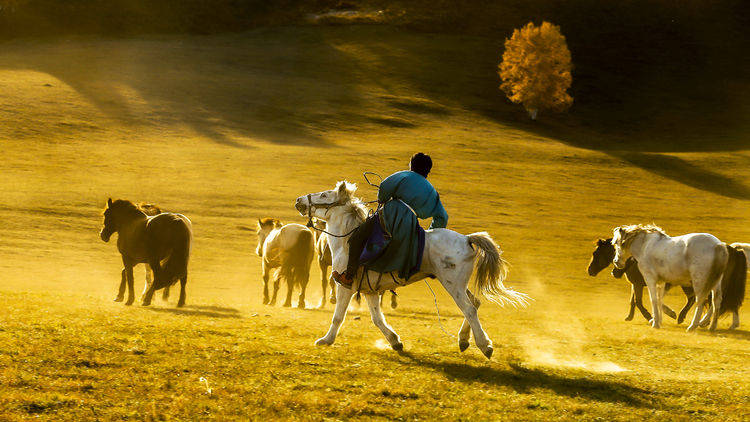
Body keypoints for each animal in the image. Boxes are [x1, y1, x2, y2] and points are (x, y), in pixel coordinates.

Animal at [296, 180, 532, 358]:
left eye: (324, 195)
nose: (299, 200)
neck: (347, 239)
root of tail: (467, 239)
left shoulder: (345, 285)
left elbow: (338, 316)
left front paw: (326, 340)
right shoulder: (370, 290)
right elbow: (377, 319)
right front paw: (395, 342)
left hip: (453, 285)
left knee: (469, 309)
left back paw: (484, 345)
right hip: (459, 285)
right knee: (475, 303)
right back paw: (464, 340)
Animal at [612, 226, 748, 332]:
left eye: (617, 243)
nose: (616, 262)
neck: (645, 246)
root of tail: (718, 245)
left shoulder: (650, 279)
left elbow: (654, 300)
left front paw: (655, 323)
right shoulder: (661, 282)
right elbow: (660, 300)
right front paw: (659, 320)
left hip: (699, 282)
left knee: (700, 301)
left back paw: (693, 326)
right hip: (716, 283)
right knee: (716, 301)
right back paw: (712, 326)